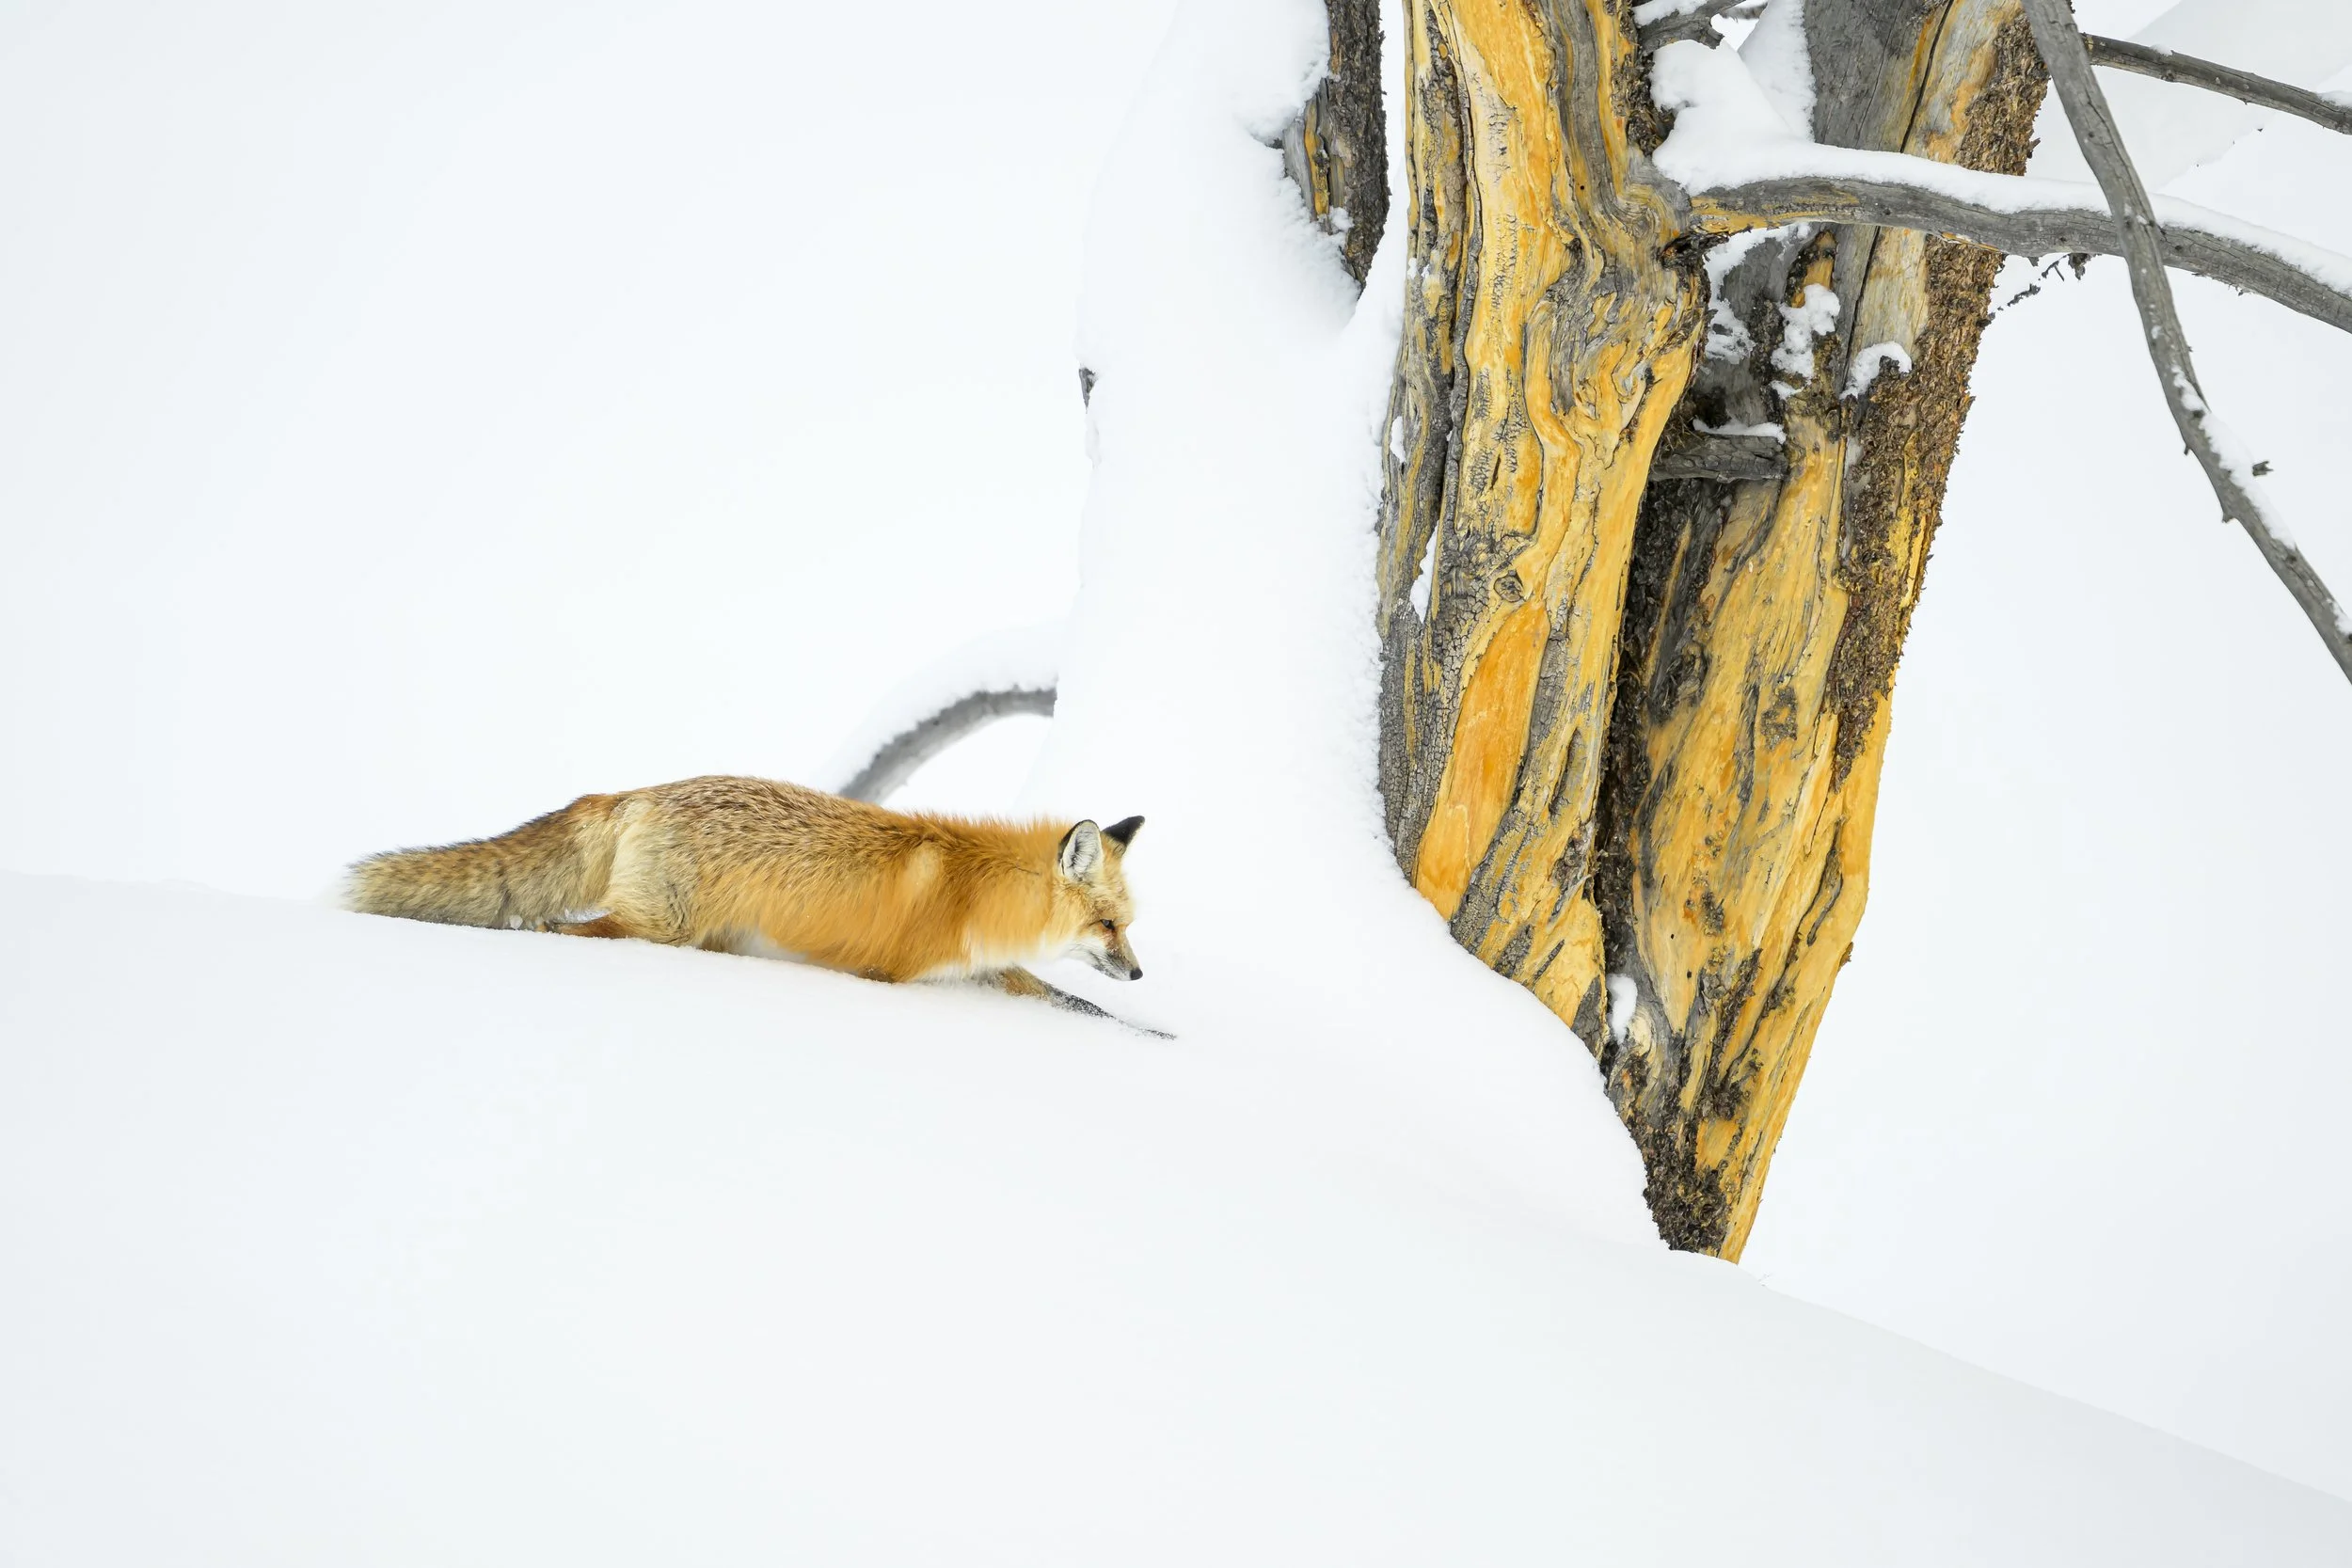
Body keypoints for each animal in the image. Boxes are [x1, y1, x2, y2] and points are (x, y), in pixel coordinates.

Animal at [343, 775, 1146, 1014]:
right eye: (1107, 924)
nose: (1139, 970)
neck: (974, 889)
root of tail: (636, 791)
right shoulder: (890, 976)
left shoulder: (982, 970)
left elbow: (1076, 1003)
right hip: (656, 927)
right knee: (562, 929)